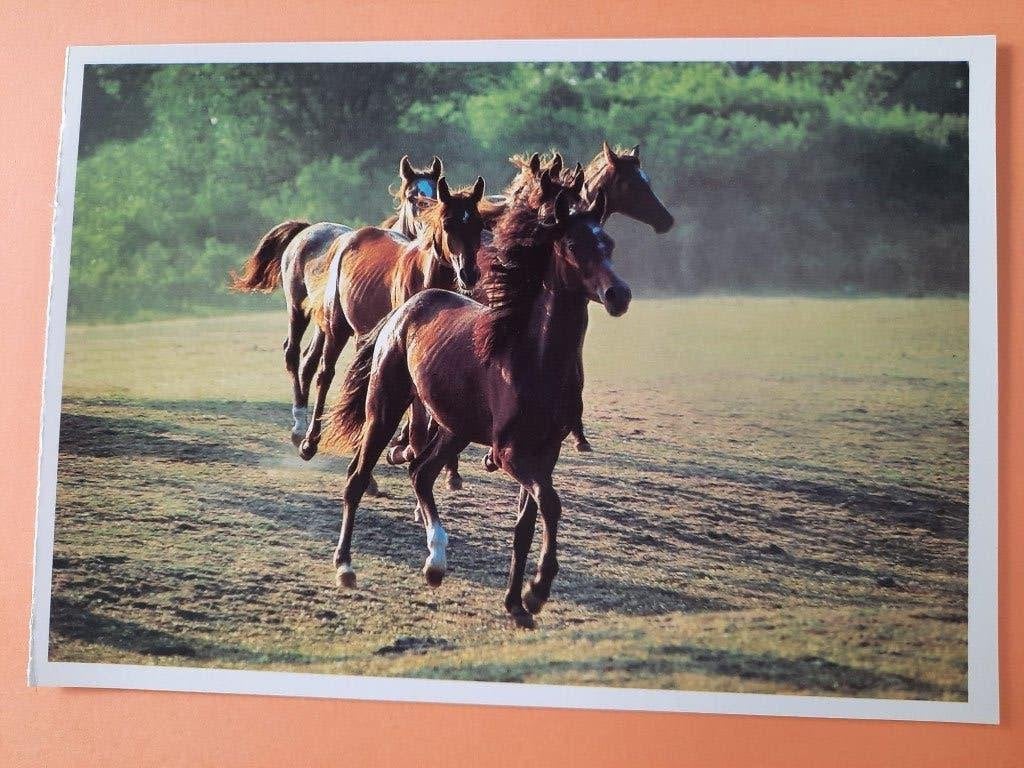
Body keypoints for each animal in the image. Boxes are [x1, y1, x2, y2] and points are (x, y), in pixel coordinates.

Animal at [229, 155, 443, 447]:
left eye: (437, 194)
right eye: (412, 197)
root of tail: (307, 229)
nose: (429, 232)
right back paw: (300, 426)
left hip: (325, 324)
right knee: (293, 353)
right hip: (298, 310)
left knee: (309, 360)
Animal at [295, 175, 487, 463]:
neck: (426, 278)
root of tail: (350, 239)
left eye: (478, 224)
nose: (469, 273)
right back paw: (309, 441)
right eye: (448, 224)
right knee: (325, 374)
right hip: (337, 329)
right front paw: (409, 449)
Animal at [320, 182, 630, 629]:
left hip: (455, 428)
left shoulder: (545, 452)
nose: (618, 294)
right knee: (358, 479)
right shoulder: (509, 453)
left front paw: (517, 604)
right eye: (574, 244)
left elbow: (526, 526)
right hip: (385, 409)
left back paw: (435, 561)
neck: (532, 357)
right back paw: (346, 566)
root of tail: (405, 310)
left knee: (421, 474)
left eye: (608, 242)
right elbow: (552, 505)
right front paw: (537, 590)